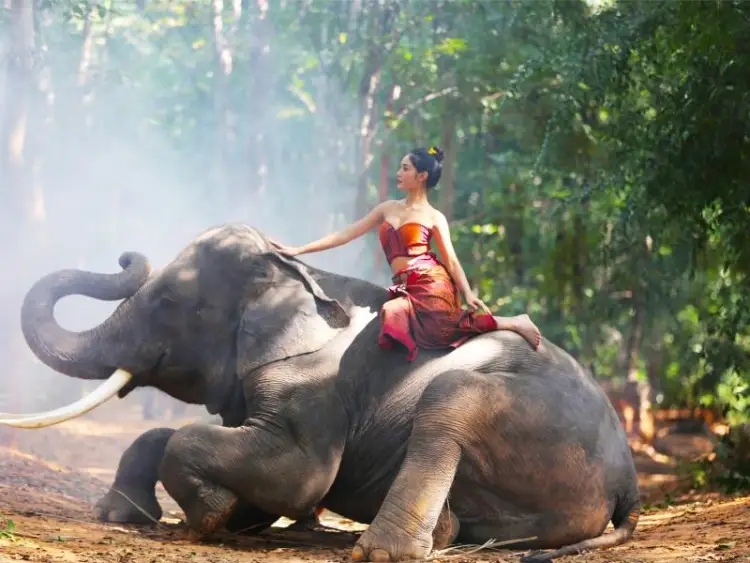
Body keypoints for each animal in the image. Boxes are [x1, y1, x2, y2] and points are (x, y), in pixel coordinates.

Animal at [1, 223, 641, 562]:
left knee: (450, 397)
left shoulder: (315, 388)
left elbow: (296, 475)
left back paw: (383, 549)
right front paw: (128, 515)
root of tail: (628, 480)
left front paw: (213, 517)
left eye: (167, 304)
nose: (126, 255)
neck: (299, 277)